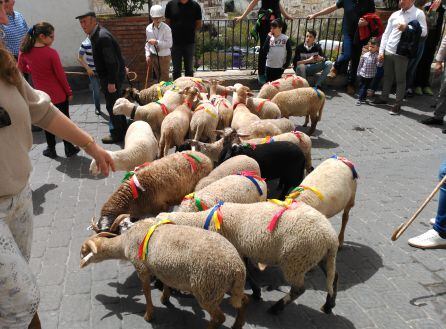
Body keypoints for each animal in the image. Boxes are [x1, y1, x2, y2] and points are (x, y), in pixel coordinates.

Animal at [79, 219, 247, 326]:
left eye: (84, 251)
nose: (80, 264)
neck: (125, 243)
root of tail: (237, 266)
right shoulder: (163, 268)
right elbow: (166, 282)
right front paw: (165, 298)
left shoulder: (141, 268)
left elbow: (146, 292)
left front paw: (149, 315)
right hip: (226, 286)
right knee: (243, 301)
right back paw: (237, 324)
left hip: (207, 289)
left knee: (219, 318)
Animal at [159, 200, 340, 312]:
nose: (160, 284)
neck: (203, 221)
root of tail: (330, 236)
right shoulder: (241, 250)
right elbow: (248, 272)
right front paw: (256, 292)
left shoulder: (235, 250)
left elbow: (246, 273)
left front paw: (255, 292)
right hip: (319, 257)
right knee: (334, 277)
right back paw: (329, 305)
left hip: (296, 259)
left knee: (299, 289)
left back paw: (277, 308)